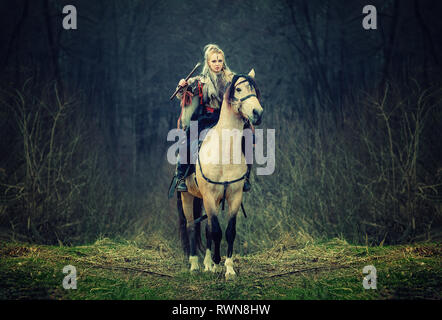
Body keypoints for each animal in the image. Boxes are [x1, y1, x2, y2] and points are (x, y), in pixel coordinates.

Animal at [176, 69, 262, 278]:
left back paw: (208, 264)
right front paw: (216, 261)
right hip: (188, 196)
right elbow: (215, 230)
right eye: (238, 89)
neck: (225, 151)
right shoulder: (209, 195)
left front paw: (228, 268)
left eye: (254, 89)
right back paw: (195, 264)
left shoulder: (234, 196)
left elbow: (229, 231)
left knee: (206, 228)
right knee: (192, 226)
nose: (258, 113)